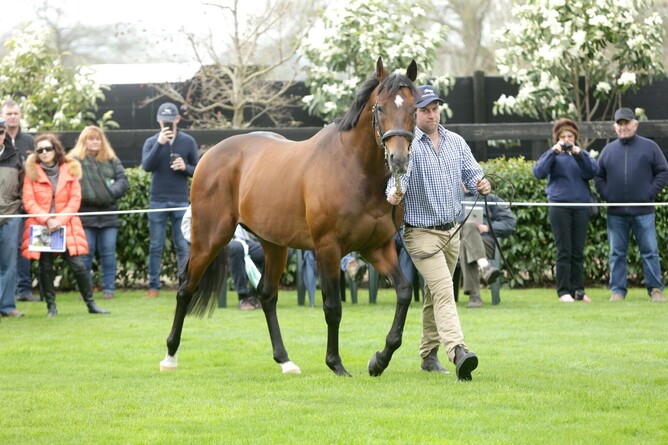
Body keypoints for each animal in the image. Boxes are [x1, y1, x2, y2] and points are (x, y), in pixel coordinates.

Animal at [160, 58, 418, 377]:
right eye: (380, 108)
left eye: (413, 109)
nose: (399, 159)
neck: (354, 168)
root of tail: (209, 155)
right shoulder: (328, 249)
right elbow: (333, 307)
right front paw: (336, 364)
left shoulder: (377, 247)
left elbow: (404, 292)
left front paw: (379, 360)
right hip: (210, 238)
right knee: (186, 288)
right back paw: (170, 356)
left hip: (274, 245)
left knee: (267, 294)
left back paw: (285, 360)